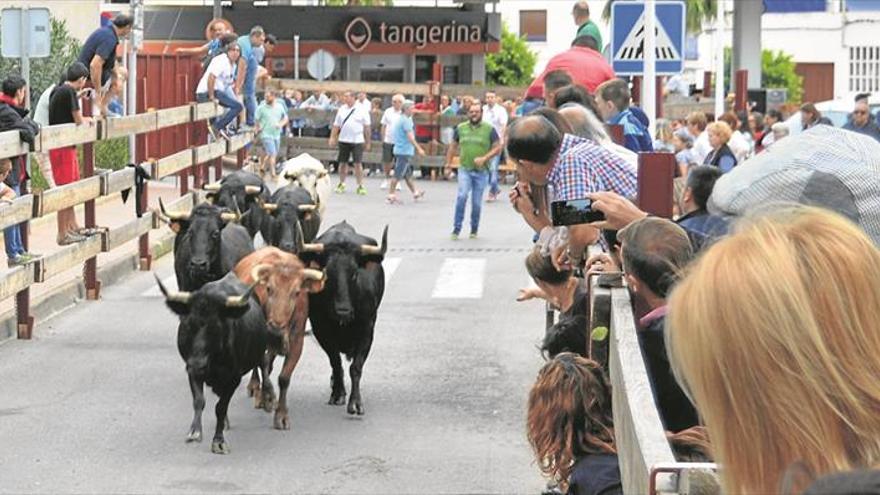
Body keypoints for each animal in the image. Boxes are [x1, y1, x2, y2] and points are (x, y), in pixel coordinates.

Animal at [235, 248, 324, 430]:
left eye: (296, 292)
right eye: (269, 288)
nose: (275, 328)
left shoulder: (297, 343)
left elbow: (284, 378)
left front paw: (281, 415)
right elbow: (262, 364)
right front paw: (268, 397)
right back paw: (257, 389)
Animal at [300, 223, 384, 416]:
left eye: (354, 274)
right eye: (327, 274)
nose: (343, 311)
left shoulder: (367, 329)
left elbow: (356, 367)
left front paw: (356, 402)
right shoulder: (320, 329)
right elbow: (336, 362)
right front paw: (338, 394)